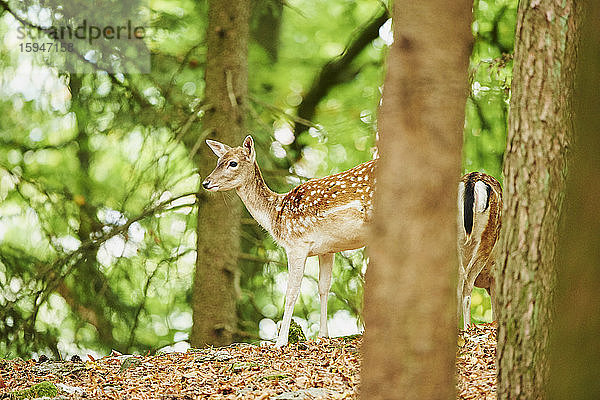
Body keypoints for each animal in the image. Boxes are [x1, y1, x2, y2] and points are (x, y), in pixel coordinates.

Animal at [203, 135, 376, 346]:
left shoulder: (296, 244)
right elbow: (323, 288)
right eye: (218, 161)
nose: (206, 183)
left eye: (232, 163)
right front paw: (323, 335)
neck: (276, 215)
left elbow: (291, 291)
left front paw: (280, 341)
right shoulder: (327, 249)